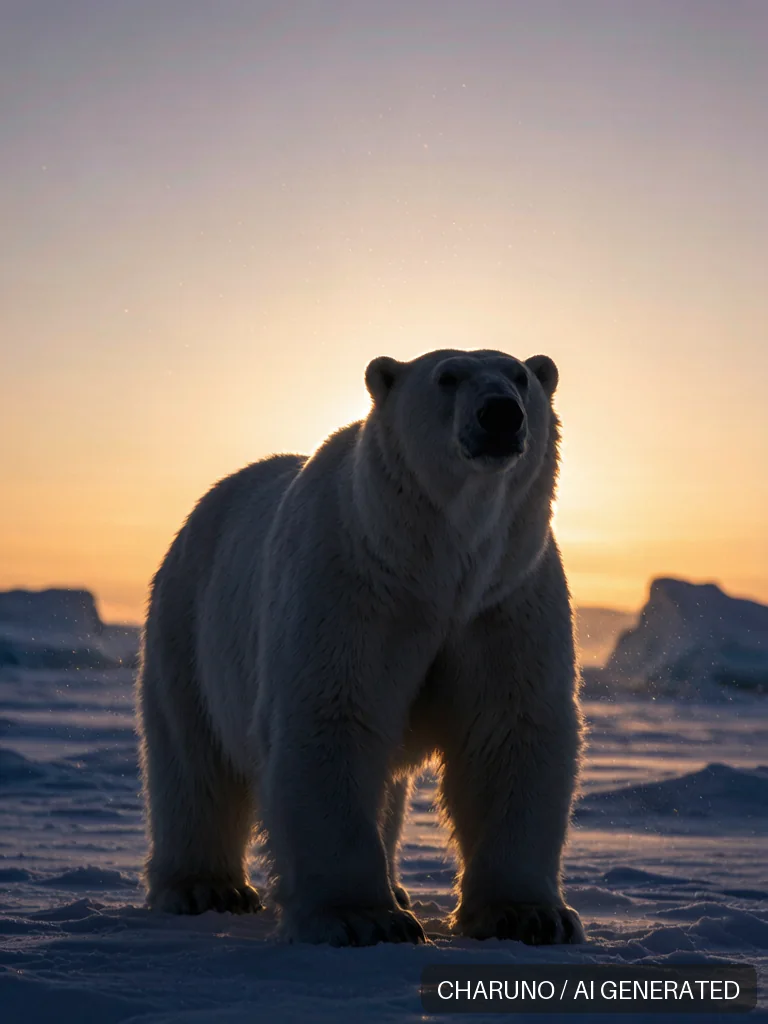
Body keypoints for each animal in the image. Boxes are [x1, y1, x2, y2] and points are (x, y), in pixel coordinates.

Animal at [137, 347, 585, 947]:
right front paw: (363, 918)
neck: (434, 565)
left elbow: (509, 730)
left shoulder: (504, 601)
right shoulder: (352, 587)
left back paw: (396, 885)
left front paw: (530, 916)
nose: (500, 414)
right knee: (193, 759)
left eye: (520, 376)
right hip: (188, 624)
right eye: (446, 377)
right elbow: (333, 718)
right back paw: (205, 888)